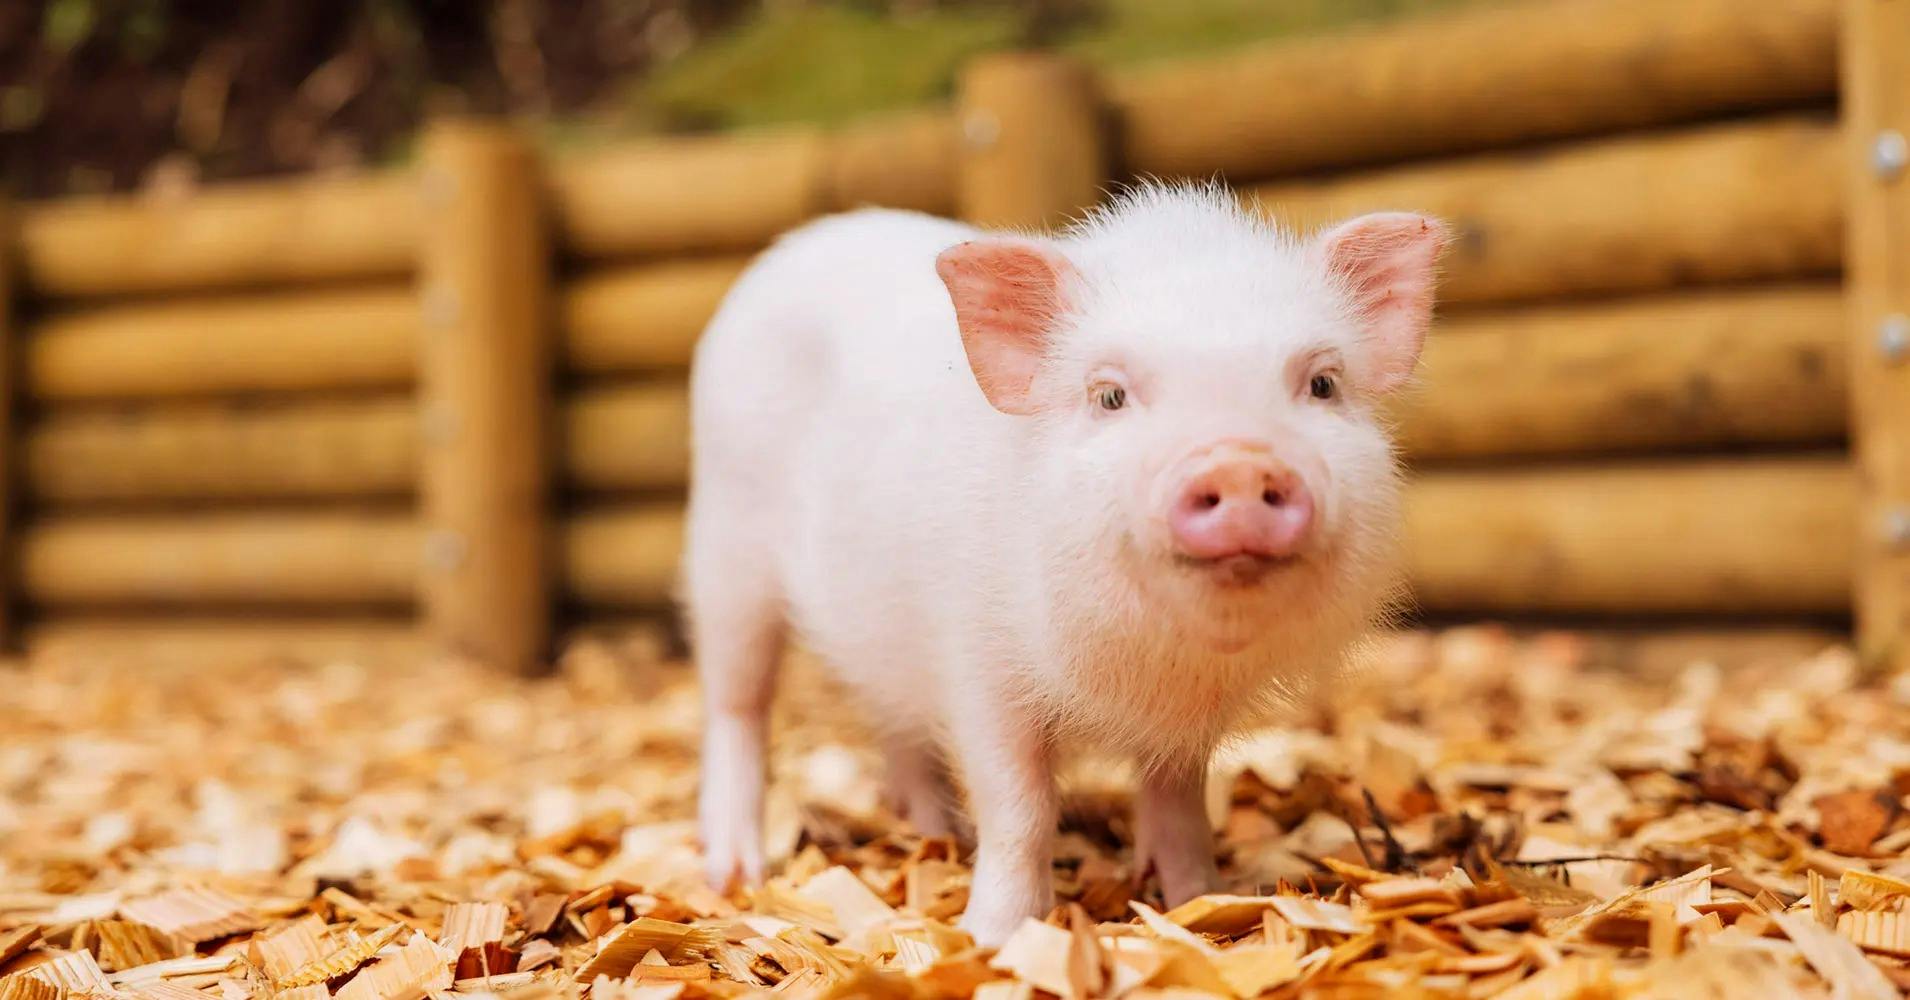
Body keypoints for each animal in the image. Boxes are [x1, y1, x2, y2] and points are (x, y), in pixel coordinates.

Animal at [684, 182, 1446, 946]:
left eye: (1322, 384)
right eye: (1109, 395)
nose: (1239, 461)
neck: (1150, 672)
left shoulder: (1182, 725)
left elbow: (1178, 802)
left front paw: (1198, 903)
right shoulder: (979, 664)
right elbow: (1019, 808)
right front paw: (994, 938)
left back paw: (934, 834)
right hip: (725, 542)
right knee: (736, 704)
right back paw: (735, 874)